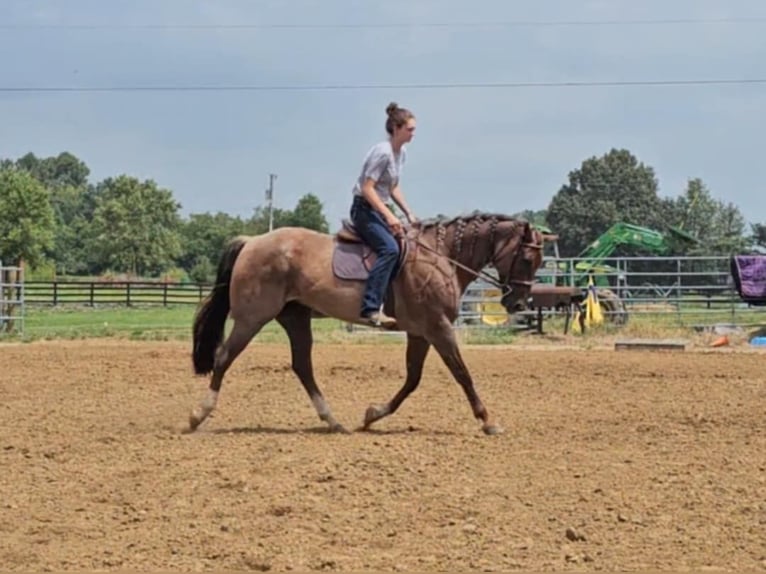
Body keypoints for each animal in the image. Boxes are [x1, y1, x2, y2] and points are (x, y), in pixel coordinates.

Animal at [188, 211, 546, 436]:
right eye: (528, 258)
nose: (518, 303)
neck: (440, 257)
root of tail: (252, 242)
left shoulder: (420, 333)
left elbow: (412, 379)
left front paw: (373, 414)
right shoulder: (438, 327)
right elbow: (462, 374)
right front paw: (487, 421)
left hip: (295, 319)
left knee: (302, 366)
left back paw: (333, 422)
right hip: (252, 318)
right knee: (224, 358)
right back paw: (198, 414)